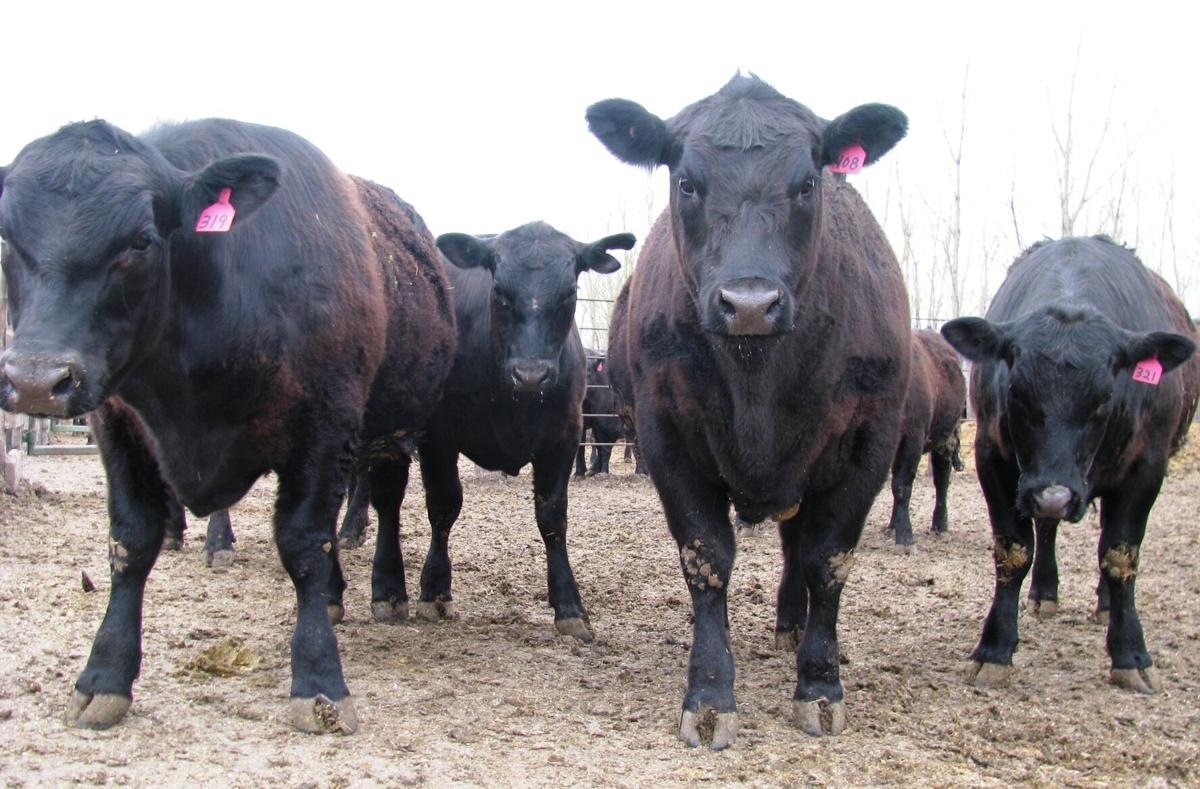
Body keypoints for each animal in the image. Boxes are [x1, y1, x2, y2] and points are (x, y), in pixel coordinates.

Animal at [0, 119, 456, 734]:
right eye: (5, 236)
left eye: (141, 240)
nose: (35, 379)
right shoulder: (117, 425)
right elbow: (131, 541)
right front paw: (104, 676)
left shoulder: (325, 427)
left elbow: (304, 543)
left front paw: (318, 680)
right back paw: (335, 596)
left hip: (392, 432)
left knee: (382, 505)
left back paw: (387, 589)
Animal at [362, 221, 632, 641]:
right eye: (500, 291)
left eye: (569, 292)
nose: (531, 374)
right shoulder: (438, 436)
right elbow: (443, 506)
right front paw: (435, 590)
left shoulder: (564, 437)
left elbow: (552, 517)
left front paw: (569, 606)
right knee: (388, 501)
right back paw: (388, 593)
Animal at [587, 75, 910, 747]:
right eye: (687, 181)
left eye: (809, 181)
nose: (751, 303)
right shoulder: (666, 436)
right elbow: (707, 559)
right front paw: (710, 695)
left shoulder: (871, 439)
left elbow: (827, 560)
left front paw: (820, 686)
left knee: (799, 547)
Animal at [887, 329, 967, 548]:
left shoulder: (912, 438)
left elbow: (902, 485)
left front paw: (905, 536)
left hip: (945, 440)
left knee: (941, 479)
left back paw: (940, 524)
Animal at [941, 235, 1199, 695]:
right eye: (1016, 390)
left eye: (1105, 398)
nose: (1054, 495)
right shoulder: (994, 459)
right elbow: (1014, 551)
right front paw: (995, 650)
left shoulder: (1146, 468)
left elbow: (1120, 555)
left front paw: (1131, 655)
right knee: (1046, 531)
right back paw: (1044, 593)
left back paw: (1107, 605)